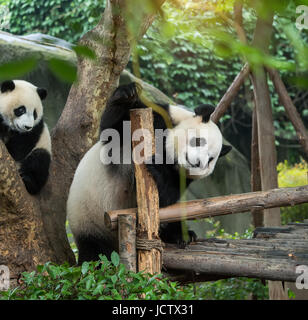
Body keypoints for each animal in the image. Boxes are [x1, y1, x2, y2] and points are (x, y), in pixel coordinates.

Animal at [67, 83, 231, 264]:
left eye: (210, 159)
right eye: (198, 141)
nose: (197, 163)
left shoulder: (181, 176)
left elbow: (166, 196)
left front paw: (156, 165)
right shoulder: (158, 117)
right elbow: (111, 129)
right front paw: (127, 94)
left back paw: (183, 235)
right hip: (89, 219)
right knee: (95, 252)